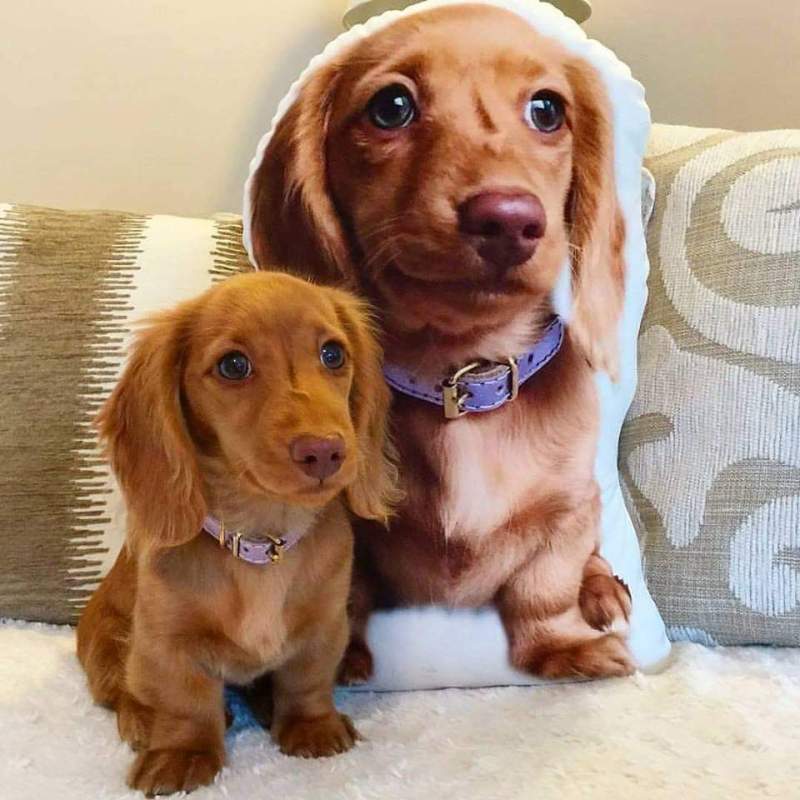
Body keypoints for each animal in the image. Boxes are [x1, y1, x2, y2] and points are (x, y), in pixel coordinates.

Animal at [76, 271, 397, 796]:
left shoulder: (327, 621)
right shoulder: (165, 641)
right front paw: (182, 754)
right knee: (122, 692)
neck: (262, 540)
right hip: (106, 646)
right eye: (233, 365)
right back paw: (142, 722)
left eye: (333, 354)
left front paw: (312, 727)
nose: (325, 451)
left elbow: (307, 678)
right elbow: (184, 700)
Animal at [247, 4, 634, 681]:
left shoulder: (568, 511)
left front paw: (562, 646)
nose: (508, 219)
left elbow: (545, 587)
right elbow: (345, 592)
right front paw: (338, 657)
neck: (461, 377)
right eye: (391, 106)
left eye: (547, 110)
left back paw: (603, 585)